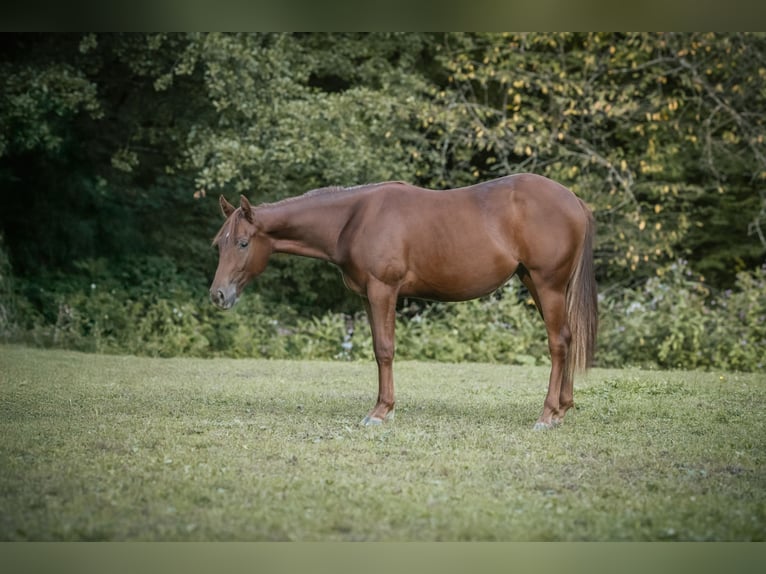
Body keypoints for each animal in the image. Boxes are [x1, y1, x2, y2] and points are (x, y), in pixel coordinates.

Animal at [209, 173, 597, 429]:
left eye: (243, 243)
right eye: (219, 243)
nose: (218, 295)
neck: (353, 218)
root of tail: (574, 200)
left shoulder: (383, 290)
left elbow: (385, 349)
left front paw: (381, 411)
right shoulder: (367, 296)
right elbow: (376, 348)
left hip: (547, 284)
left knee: (559, 342)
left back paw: (547, 415)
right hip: (535, 282)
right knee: (567, 339)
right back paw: (563, 408)